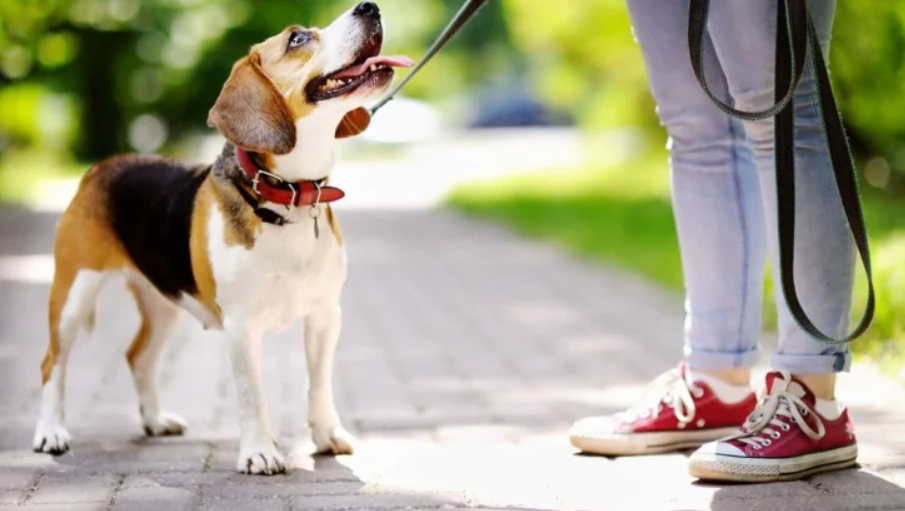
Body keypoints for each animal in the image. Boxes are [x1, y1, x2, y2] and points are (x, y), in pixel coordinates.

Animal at [31, 3, 414, 476]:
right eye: (297, 39)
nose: (369, 7)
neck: (288, 197)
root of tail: (102, 166)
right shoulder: (241, 325)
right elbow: (253, 395)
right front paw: (260, 452)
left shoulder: (325, 315)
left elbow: (319, 384)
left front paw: (327, 435)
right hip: (73, 293)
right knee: (52, 363)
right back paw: (51, 433)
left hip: (163, 303)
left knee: (138, 357)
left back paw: (155, 420)